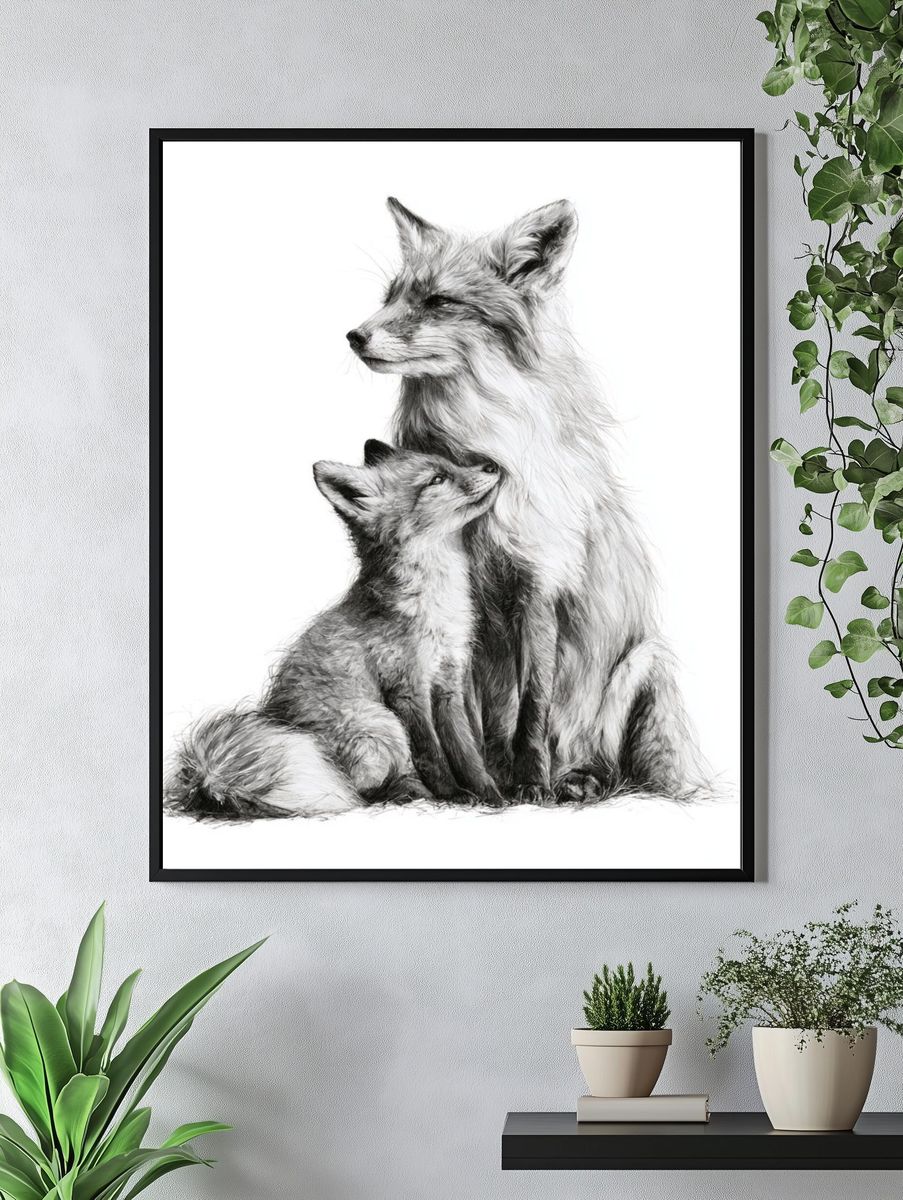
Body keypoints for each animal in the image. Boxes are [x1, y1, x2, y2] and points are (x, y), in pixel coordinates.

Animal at [164, 440, 505, 819]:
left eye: (448, 464)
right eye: (437, 478)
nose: (492, 466)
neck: (438, 607)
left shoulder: (448, 683)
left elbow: (466, 751)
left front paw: (489, 793)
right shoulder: (406, 688)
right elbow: (432, 755)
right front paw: (453, 794)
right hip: (381, 725)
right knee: (361, 791)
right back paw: (410, 793)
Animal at [346, 196, 708, 803]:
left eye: (438, 301)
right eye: (390, 296)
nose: (354, 336)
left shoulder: (539, 586)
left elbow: (533, 705)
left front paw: (529, 783)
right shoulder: (465, 611)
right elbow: (469, 714)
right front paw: (483, 783)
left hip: (646, 664)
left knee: (625, 770)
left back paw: (577, 781)